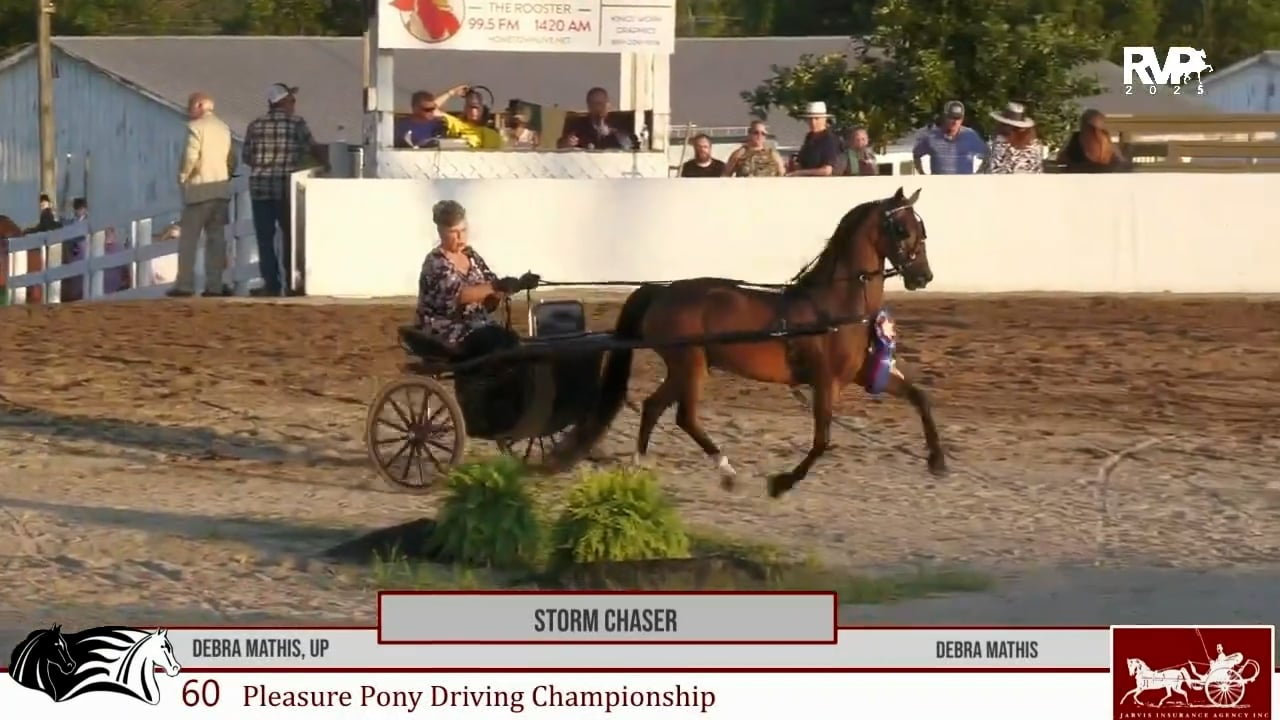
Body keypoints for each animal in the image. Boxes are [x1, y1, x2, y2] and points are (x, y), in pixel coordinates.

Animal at [558, 187, 944, 498]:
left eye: (923, 230)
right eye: (902, 229)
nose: (923, 276)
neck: (834, 308)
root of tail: (661, 290)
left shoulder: (863, 374)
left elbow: (920, 397)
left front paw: (938, 461)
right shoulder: (825, 382)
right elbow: (822, 442)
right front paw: (781, 484)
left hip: (685, 366)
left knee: (654, 406)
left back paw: (638, 465)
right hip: (691, 364)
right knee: (685, 416)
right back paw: (727, 472)